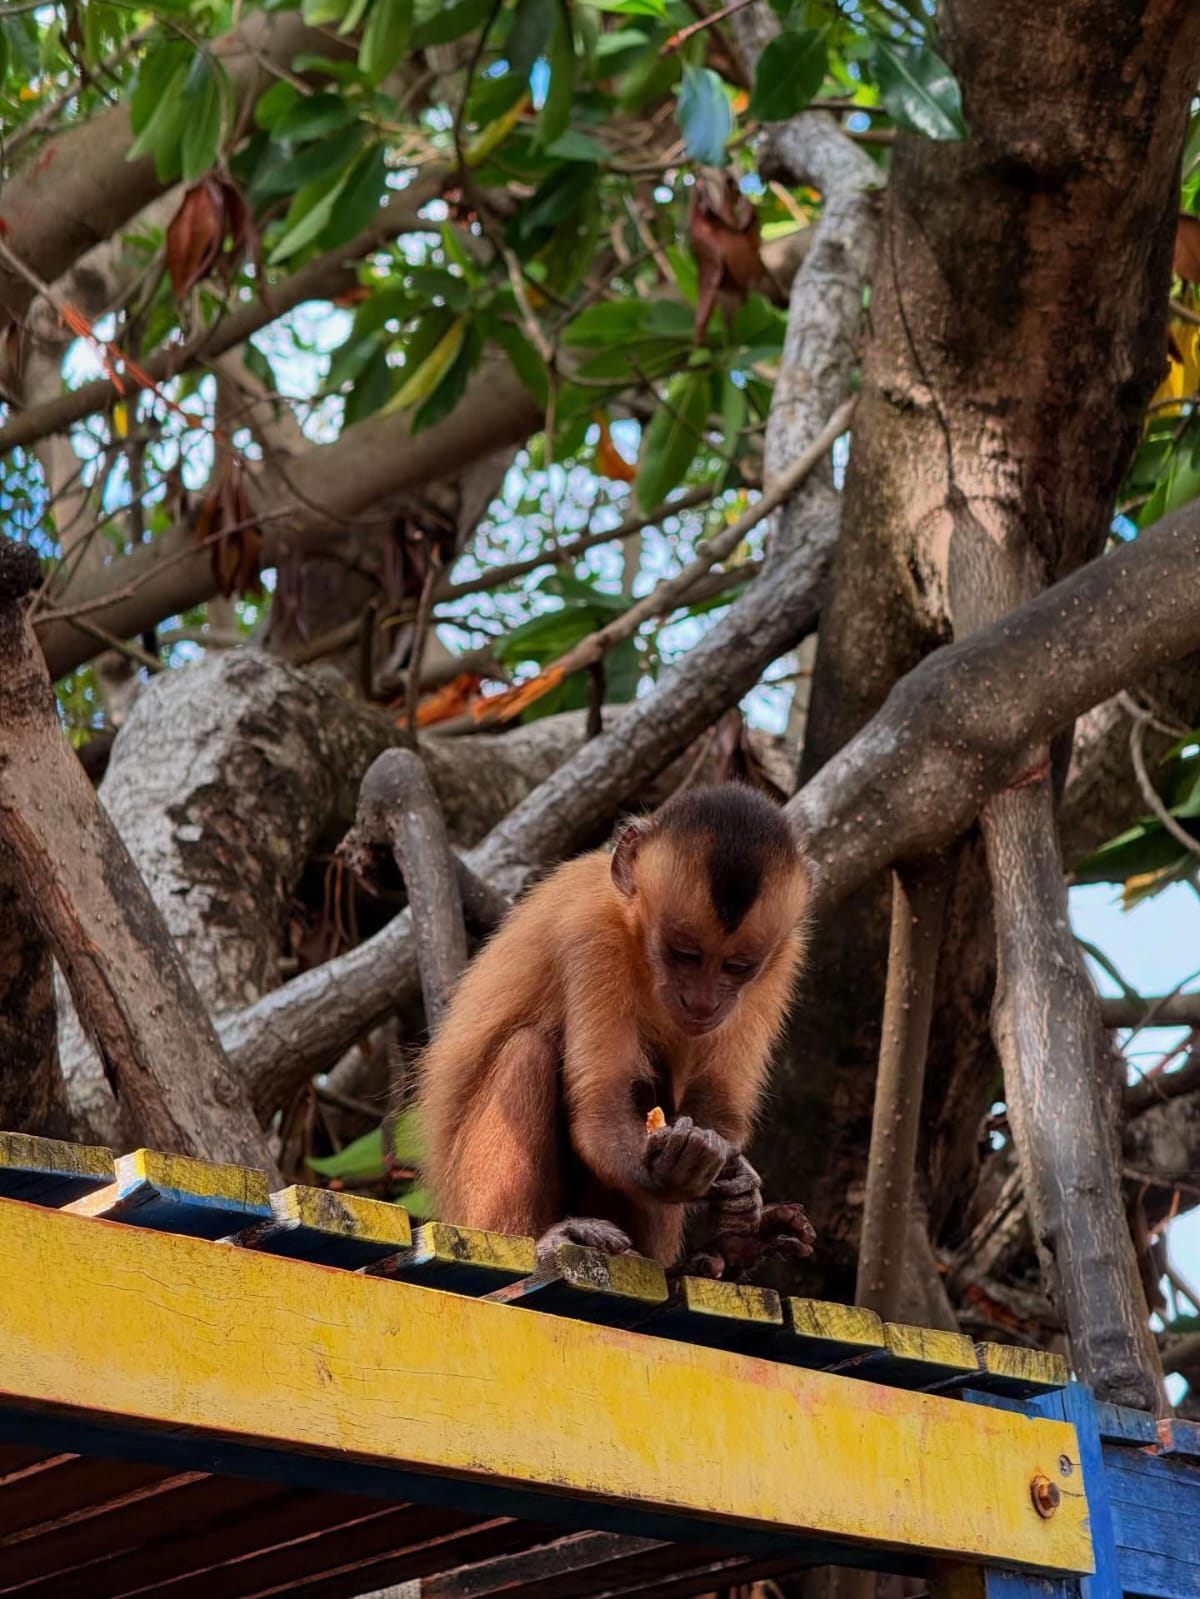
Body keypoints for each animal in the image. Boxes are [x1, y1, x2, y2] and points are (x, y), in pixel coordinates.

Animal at [417, 783, 815, 1271]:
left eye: (736, 967)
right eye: (685, 955)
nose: (703, 1001)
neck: (635, 932)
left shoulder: (782, 960)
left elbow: (717, 1099)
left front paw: (736, 1187)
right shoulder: (592, 932)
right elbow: (601, 1105)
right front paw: (671, 1173)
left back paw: (730, 1254)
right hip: (467, 1214)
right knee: (527, 1050)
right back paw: (543, 1238)